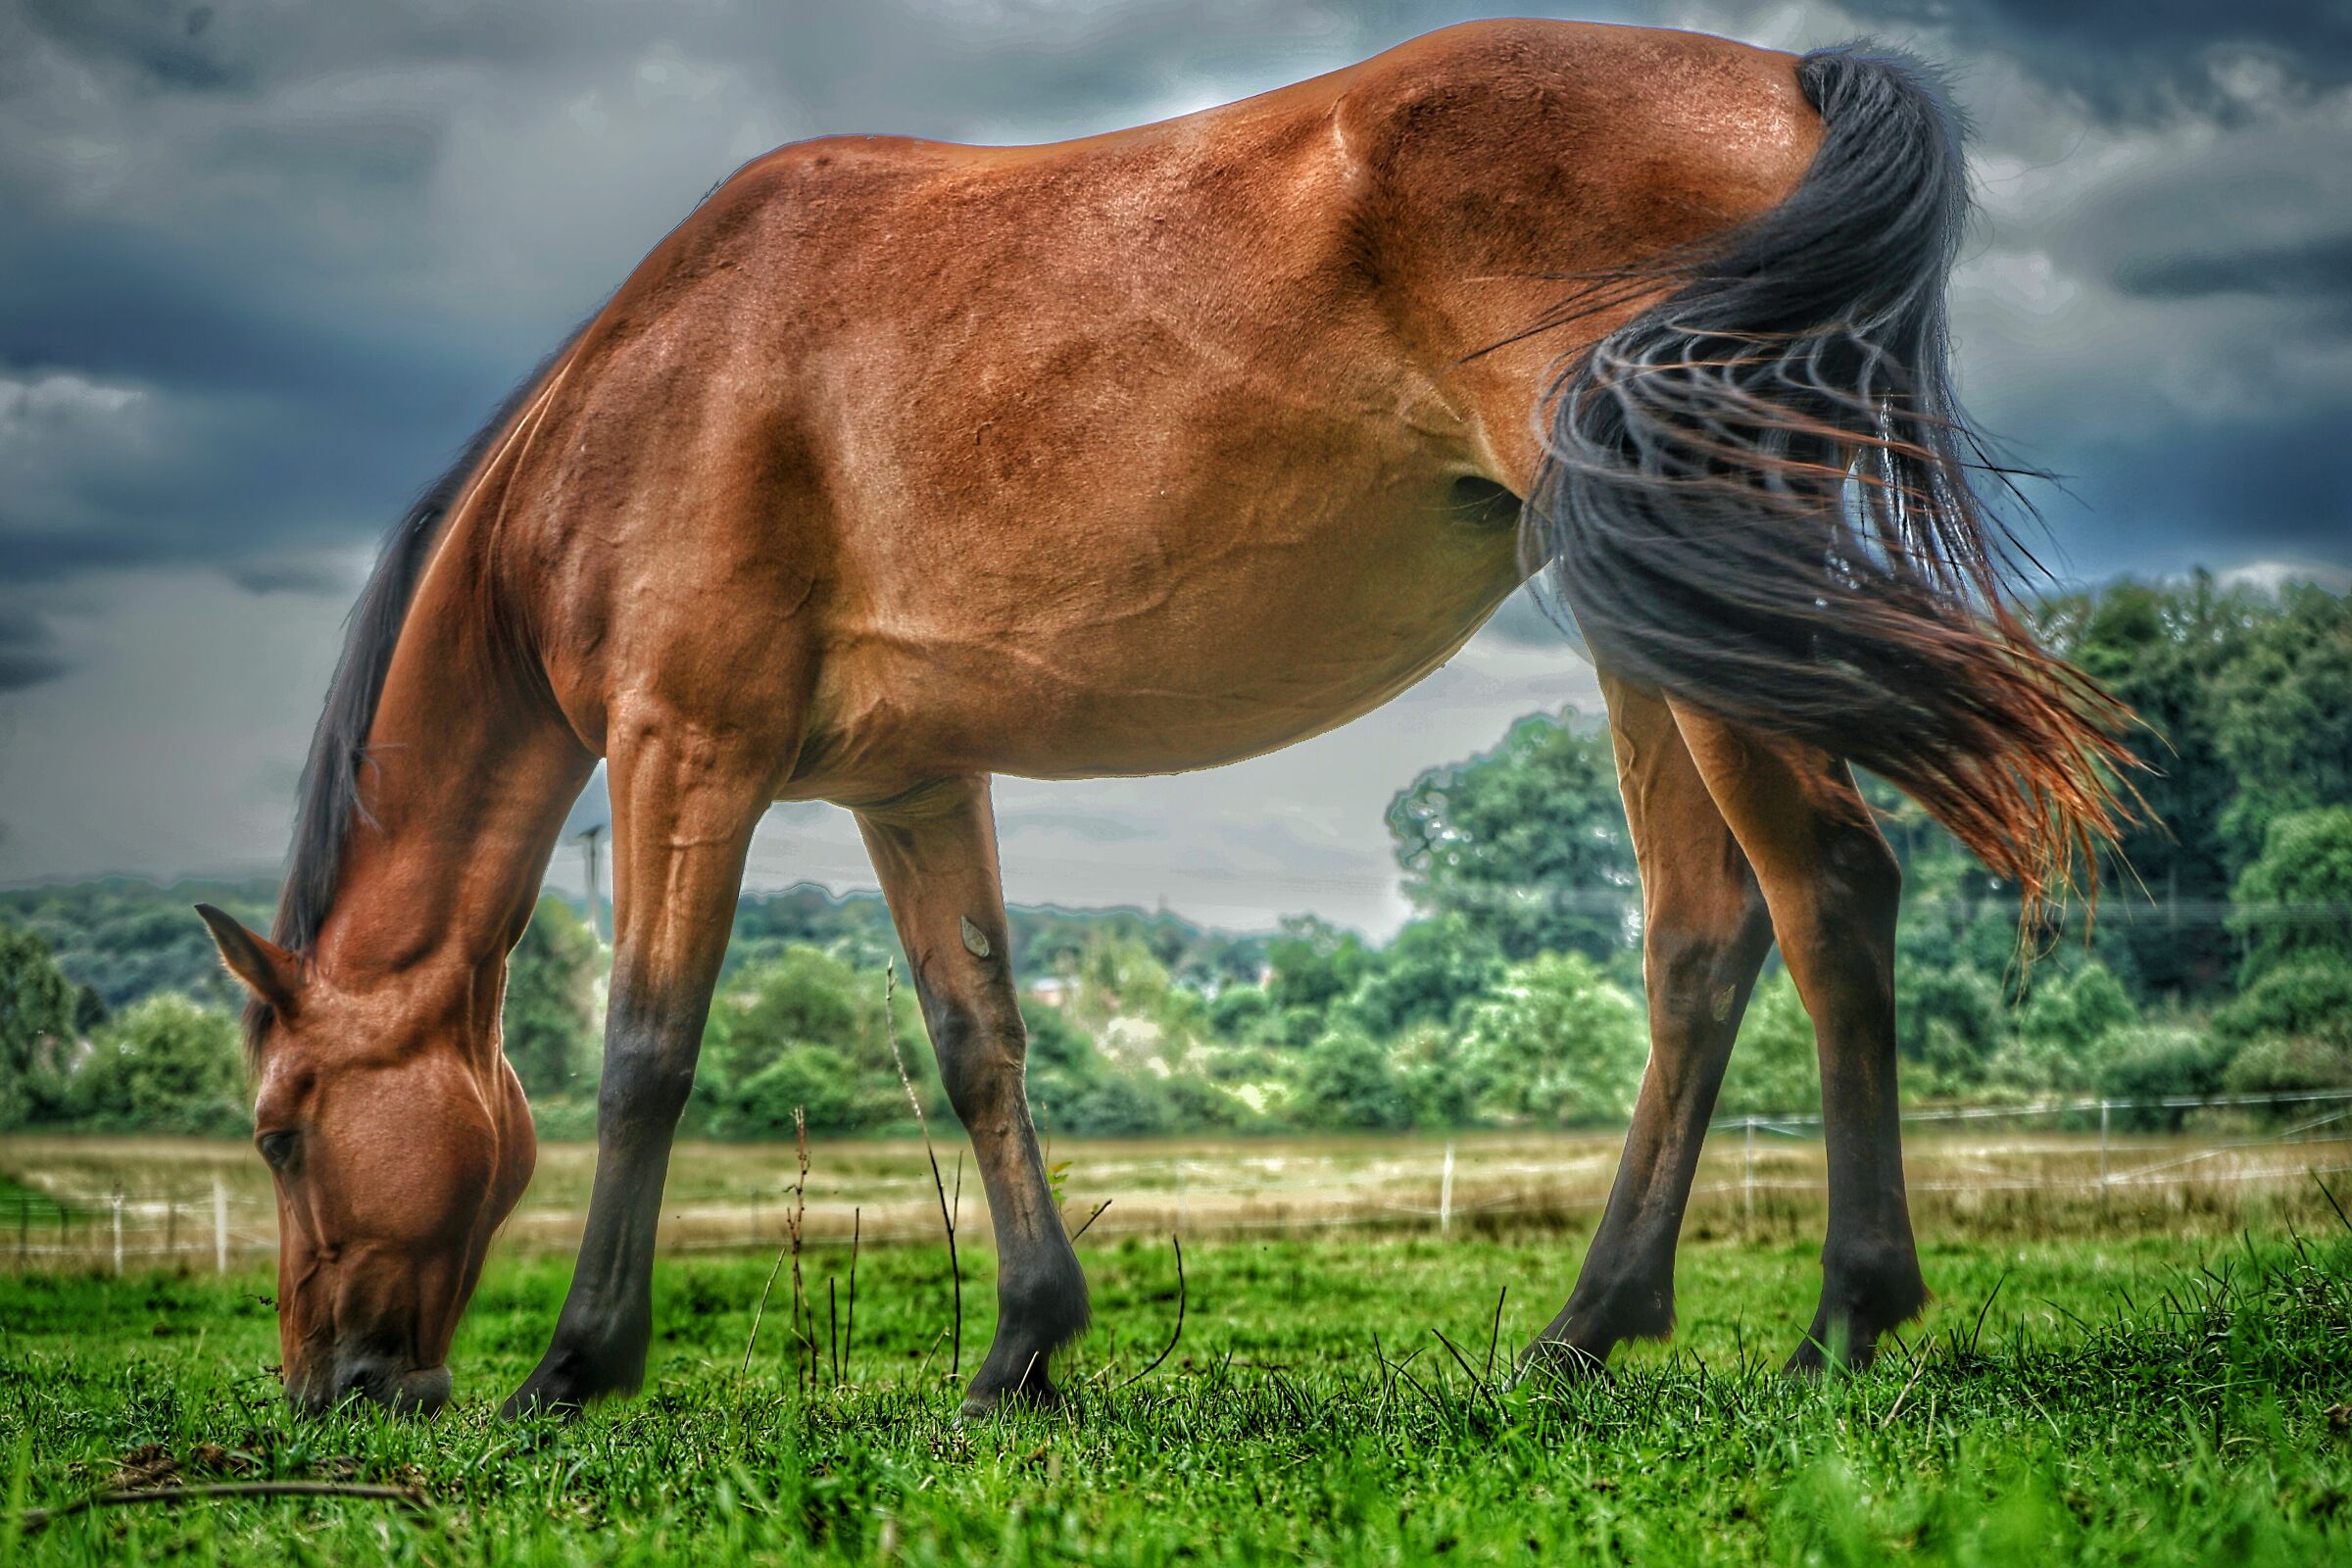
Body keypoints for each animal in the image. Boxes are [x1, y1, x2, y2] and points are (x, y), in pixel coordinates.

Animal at [196, 18, 2129, 1419]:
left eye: (281, 1129)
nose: (332, 1393)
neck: (644, 398)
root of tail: (1782, 75)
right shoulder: (913, 784)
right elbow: (977, 1041)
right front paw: (1022, 1347)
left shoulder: (688, 753)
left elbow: (647, 1051)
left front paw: (576, 1365)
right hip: (1649, 624)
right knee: (1704, 941)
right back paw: (1586, 1329)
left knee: (1829, 895)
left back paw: (1844, 1322)